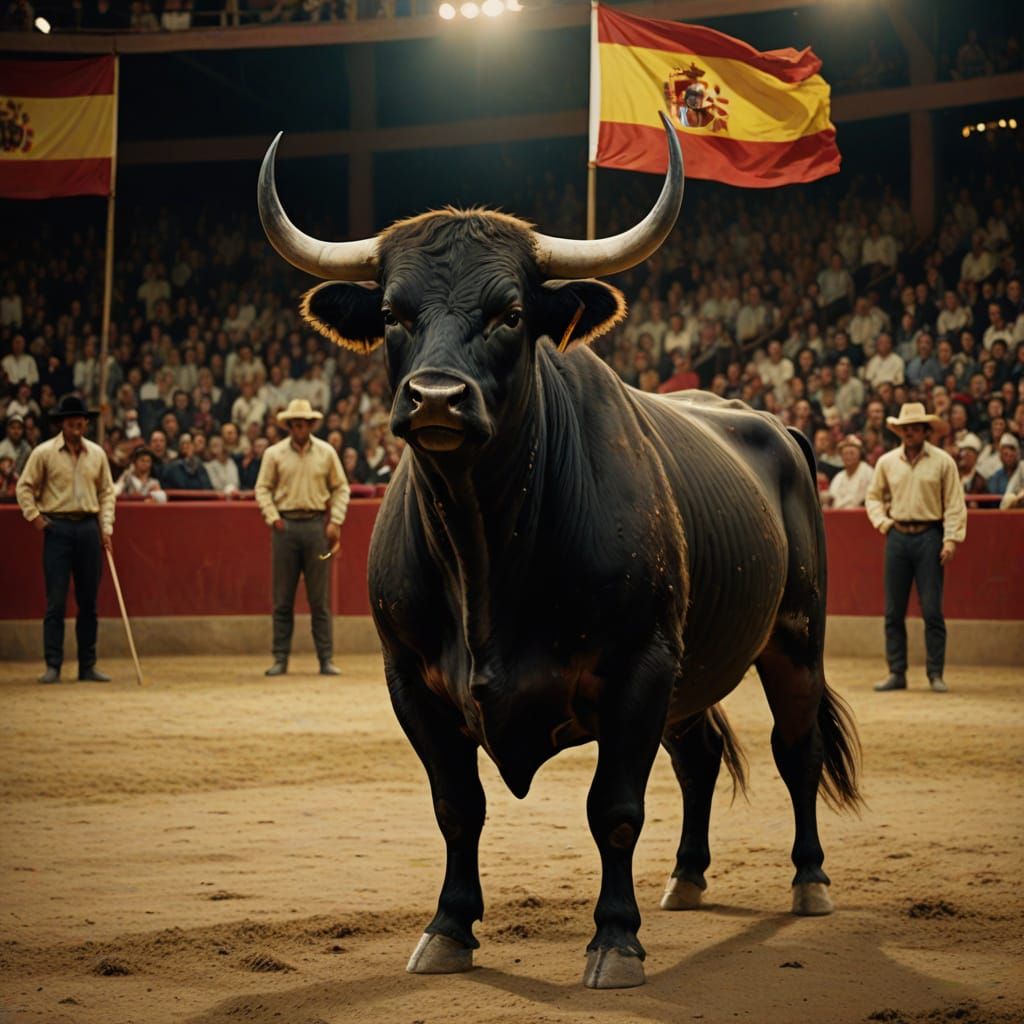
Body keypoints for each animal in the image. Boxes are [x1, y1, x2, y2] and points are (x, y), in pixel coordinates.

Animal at [258, 114, 861, 989]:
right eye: (395, 313)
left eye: (510, 312)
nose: (435, 398)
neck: (485, 554)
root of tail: (774, 426)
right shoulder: (413, 682)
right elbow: (457, 807)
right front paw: (449, 927)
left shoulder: (639, 666)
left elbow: (613, 809)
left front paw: (615, 939)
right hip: (695, 668)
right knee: (701, 756)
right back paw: (687, 876)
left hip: (793, 639)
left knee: (797, 749)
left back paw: (809, 880)